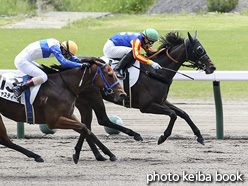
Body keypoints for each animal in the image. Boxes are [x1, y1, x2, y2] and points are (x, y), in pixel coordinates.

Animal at [73, 31, 215, 162]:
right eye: (199, 49)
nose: (212, 67)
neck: (156, 72)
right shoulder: (146, 106)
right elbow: (173, 114)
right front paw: (162, 137)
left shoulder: (161, 101)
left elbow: (183, 113)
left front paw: (200, 137)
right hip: (94, 96)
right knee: (103, 120)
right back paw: (132, 137)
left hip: (83, 101)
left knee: (85, 125)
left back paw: (89, 154)